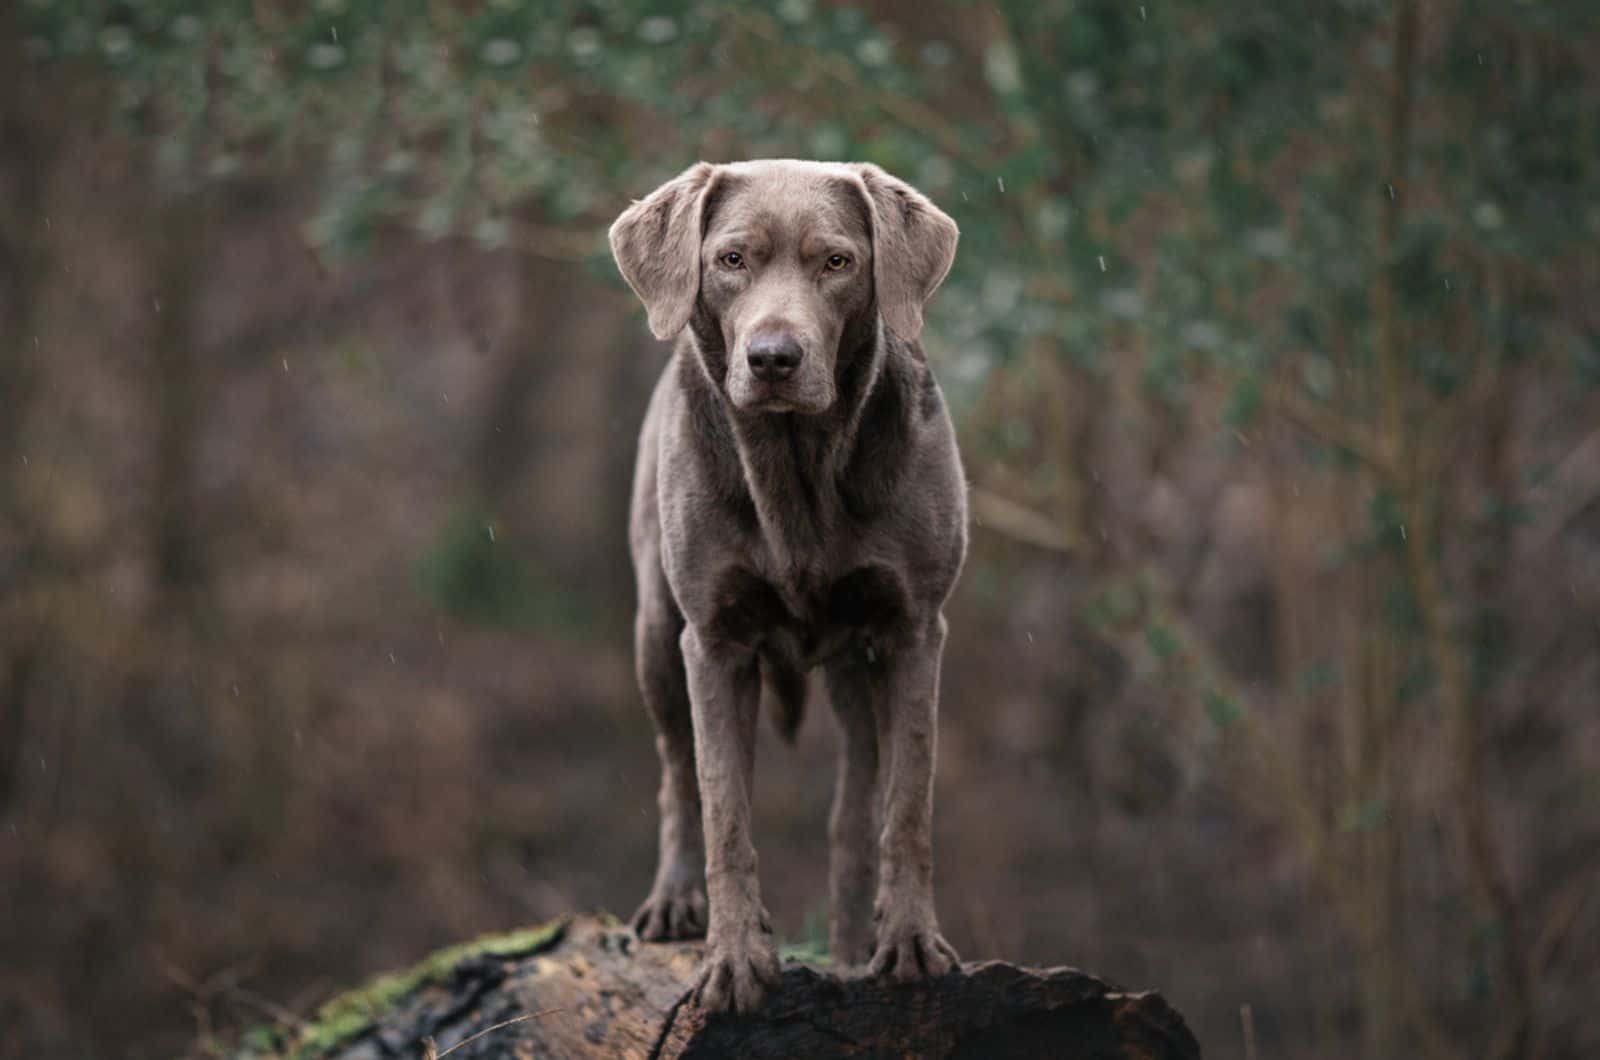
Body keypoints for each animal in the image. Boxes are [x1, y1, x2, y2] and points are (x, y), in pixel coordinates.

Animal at [608, 161, 960, 1018]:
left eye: (837, 262)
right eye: (732, 260)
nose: (773, 357)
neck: (797, 464)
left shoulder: (913, 630)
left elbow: (907, 805)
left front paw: (910, 944)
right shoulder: (713, 640)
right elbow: (723, 809)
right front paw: (734, 960)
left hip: (855, 669)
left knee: (854, 808)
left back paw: (853, 947)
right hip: (654, 631)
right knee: (676, 772)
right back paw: (673, 904)